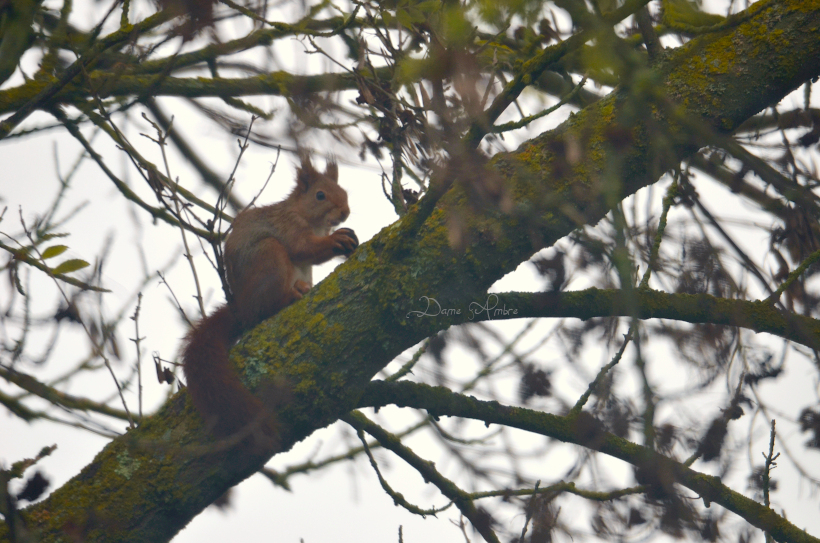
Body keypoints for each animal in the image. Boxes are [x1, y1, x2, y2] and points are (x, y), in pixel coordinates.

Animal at [181, 156, 359, 443]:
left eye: (344, 192)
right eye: (320, 195)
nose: (344, 212)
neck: (309, 218)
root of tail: (241, 309)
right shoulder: (289, 226)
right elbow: (304, 248)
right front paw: (337, 238)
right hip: (270, 256)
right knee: (266, 307)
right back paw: (290, 296)